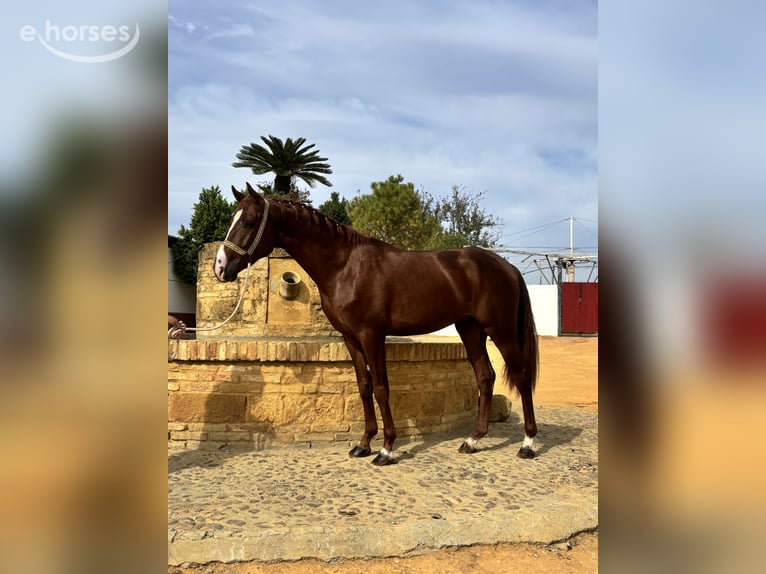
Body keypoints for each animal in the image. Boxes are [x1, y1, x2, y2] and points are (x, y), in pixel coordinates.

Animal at [215, 182, 539, 466]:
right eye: (233, 220)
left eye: (249, 222)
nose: (220, 267)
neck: (345, 266)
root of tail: (507, 266)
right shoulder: (350, 338)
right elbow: (364, 385)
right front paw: (364, 444)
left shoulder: (372, 335)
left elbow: (382, 388)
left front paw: (386, 449)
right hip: (470, 329)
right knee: (485, 377)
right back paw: (473, 440)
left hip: (501, 331)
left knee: (521, 377)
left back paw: (528, 444)